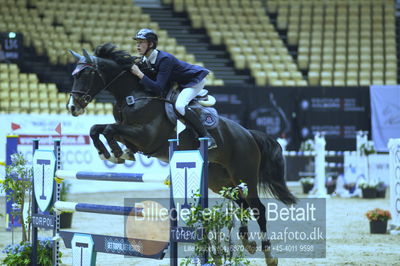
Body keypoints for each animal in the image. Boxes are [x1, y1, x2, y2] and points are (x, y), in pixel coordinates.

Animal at [66, 42, 296, 264]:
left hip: (244, 175)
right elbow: (97, 129)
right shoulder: (130, 133)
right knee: (242, 204)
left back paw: (269, 255)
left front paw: (114, 152)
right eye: (73, 75)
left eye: (85, 74)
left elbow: (109, 130)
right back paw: (247, 241)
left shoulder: (146, 137)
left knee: (258, 208)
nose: (72, 108)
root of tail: (248, 134)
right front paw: (112, 153)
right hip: (220, 181)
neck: (134, 95)